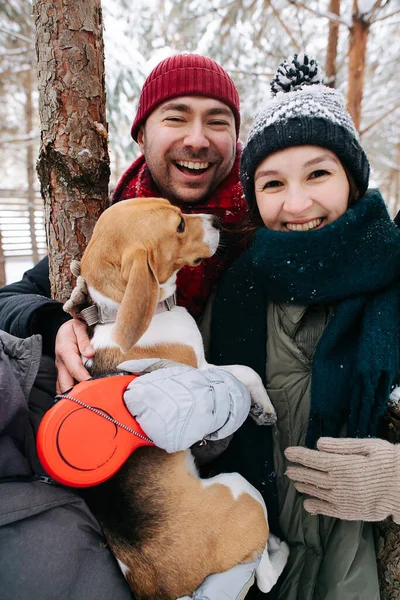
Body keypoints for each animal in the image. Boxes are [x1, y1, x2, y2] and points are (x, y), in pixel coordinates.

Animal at [69, 198, 288, 600]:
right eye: (180, 226)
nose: (216, 220)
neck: (122, 313)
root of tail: (167, 589)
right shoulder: (201, 368)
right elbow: (245, 371)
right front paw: (263, 408)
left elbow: (243, 371)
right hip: (241, 490)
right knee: (263, 576)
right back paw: (280, 549)